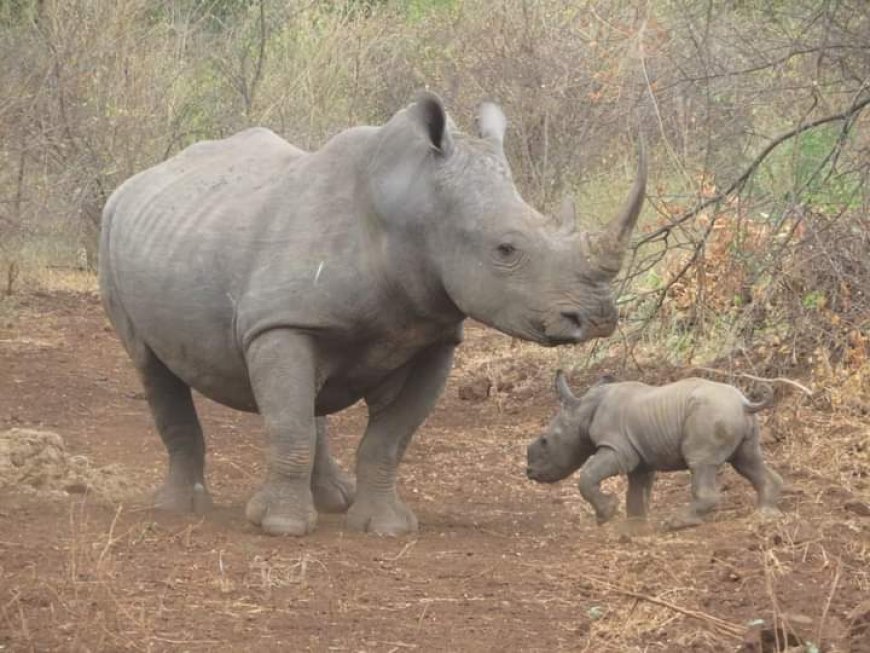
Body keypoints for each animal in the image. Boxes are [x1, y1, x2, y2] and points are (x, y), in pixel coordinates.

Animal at [102, 93, 648, 540]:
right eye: (506, 249)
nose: (597, 318)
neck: (416, 207)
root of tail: (135, 182)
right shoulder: (280, 323)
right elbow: (289, 425)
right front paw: (280, 527)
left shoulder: (432, 334)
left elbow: (389, 438)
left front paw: (386, 528)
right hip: (116, 230)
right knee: (151, 365)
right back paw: (180, 509)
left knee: (309, 396)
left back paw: (332, 500)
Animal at [528, 370, 788, 528]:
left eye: (544, 441)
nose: (529, 471)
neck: (583, 410)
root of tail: (744, 403)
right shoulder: (640, 455)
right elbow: (637, 489)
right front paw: (635, 525)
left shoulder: (617, 449)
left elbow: (588, 475)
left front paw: (606, 515)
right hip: (733, 417)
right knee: (748, 461)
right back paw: (767, 514)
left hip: (710, 414)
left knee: (701, 463)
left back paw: (677, 523)